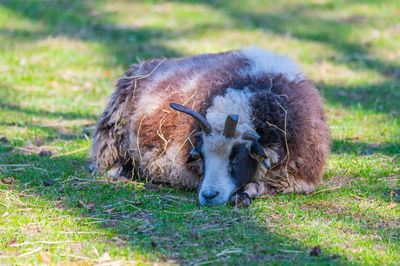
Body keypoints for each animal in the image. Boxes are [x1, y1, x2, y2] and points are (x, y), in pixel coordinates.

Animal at [91, 46, 332, 206]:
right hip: (112, 135)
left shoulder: (298, 179)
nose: (208, 196)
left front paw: (246, 194)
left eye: (237, 156)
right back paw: (121, 171)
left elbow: (259, 186)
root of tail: (141, 65)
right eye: (202, 156)